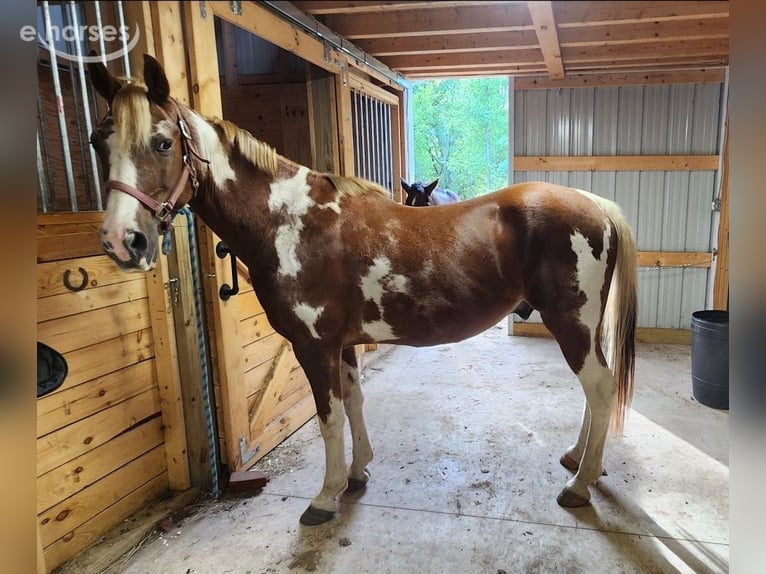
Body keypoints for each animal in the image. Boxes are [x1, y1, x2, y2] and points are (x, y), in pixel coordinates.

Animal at [88, 55, 638, 526]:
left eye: (163, 143)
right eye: (98, 143)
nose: (122, 240)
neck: (288, 223)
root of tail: (595, 204)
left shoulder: (313, 347)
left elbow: (328, 417)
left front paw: (324, 497)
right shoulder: (343, 345)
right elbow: (353, 402)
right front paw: (356, 474)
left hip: (571, 325)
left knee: (599, 388)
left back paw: (580, 484)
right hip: (584, 329)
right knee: (596, 391)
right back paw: (577, 460)